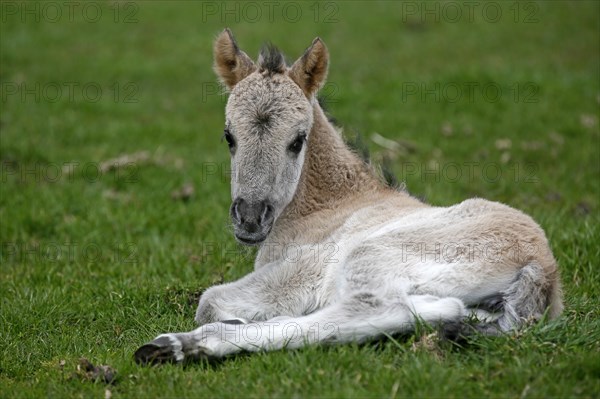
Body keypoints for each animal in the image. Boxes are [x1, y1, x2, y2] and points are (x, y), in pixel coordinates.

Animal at [135, 28, 564, 366]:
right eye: (229, 136)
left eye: (297, 140)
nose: (250, 219)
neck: (332, 204)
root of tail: (542, 267)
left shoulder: (303, 270)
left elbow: (210, 299)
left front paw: (229, 320)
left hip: (372, 255)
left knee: (381, 309)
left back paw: (177, 346)